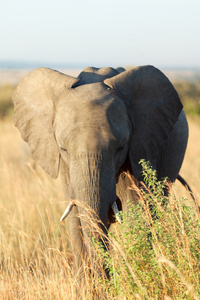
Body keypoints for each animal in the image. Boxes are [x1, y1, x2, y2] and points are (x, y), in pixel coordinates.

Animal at [12, 65, 189, 274]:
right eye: (63, 148)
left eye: (121, 147)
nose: (106, 276)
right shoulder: (66, 168)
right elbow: (76, 220)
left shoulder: (139, 149)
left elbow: (136, 213)